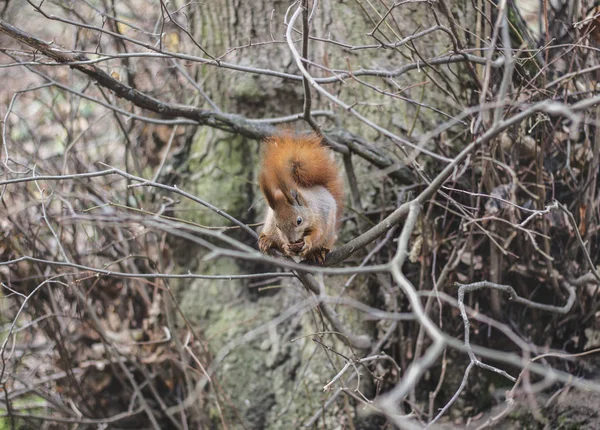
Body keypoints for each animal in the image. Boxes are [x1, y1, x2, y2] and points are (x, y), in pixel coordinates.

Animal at [256, 133, 342, 264]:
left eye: (299, 221)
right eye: (278, 226)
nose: (292, 241)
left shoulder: (319, 217)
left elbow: (318, 233)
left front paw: (308, 242)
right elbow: (281, 242)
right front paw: (286, 247)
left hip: (329, 235)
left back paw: (317, 253)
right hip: (269, 225)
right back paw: (266, 240)